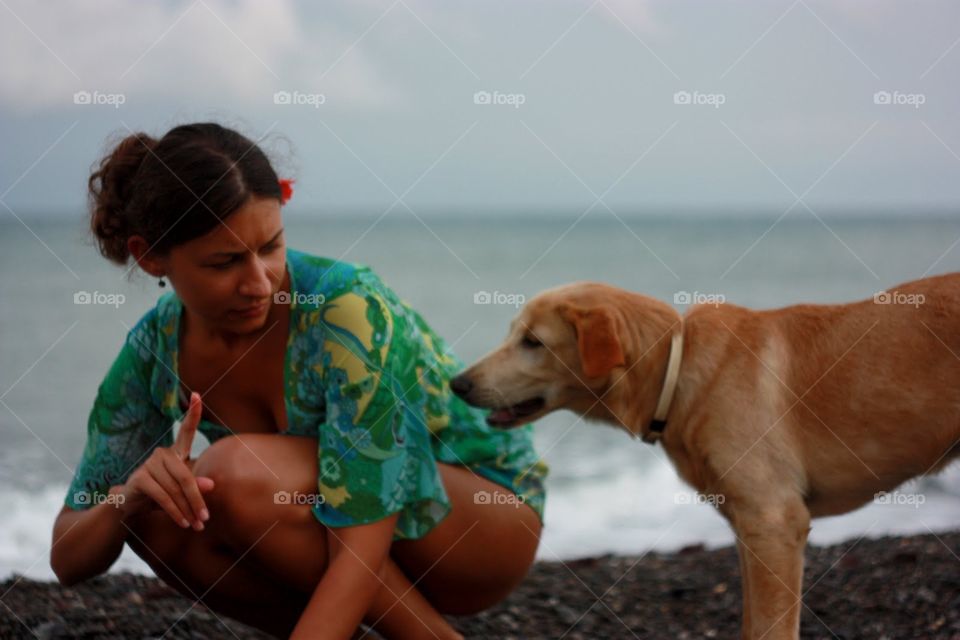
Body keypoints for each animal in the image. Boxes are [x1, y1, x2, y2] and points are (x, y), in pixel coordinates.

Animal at [450, 276, 960, 640]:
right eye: (513, 335)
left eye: (532, 342)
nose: (457, 383)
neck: (677, 372)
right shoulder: (750, 530)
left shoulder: (775, 524)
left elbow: (771, 629)